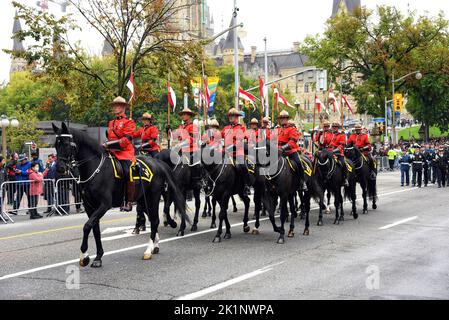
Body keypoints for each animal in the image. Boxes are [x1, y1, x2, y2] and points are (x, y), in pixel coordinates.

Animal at [52, 123, 187, 268]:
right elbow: (95, 229)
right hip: (142, 200)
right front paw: (97, 257)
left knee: (156, 220)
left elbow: (87, 226)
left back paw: (148, 250)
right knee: (152, 220)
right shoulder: (90, 206)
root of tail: (158, 163)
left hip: (153, 197)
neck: (95, 169)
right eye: (56, 144)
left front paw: (84, 255)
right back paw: (156, 244)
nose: (60, 168)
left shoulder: (104, 204)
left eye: (66, 144)